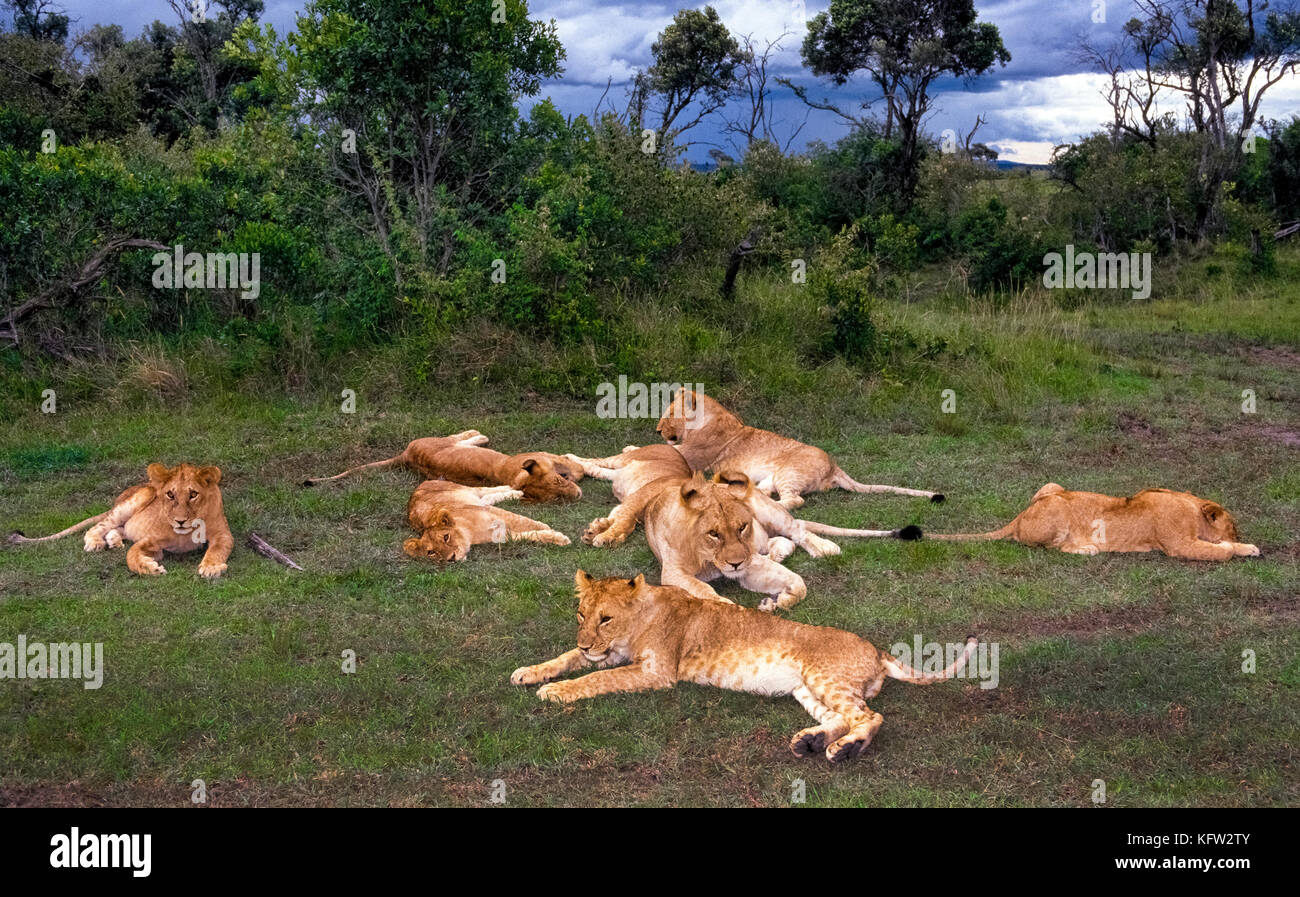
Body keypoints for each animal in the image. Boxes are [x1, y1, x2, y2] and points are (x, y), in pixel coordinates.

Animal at [301, 428, 582, 499]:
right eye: (557, 492)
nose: (577, 496)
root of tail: (406, 455)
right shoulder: (542, 455)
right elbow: (575, 467)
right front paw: (575, 466)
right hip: (440, 441)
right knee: (462, 436)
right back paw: (480, 435)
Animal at [405, 480, 569, 559]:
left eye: (446, 537)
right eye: (431, 552)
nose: (451, 558)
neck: (470, 534)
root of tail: (422, 483)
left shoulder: (495, 514)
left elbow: (523, 521)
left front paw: (547, 527)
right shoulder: (500, 535)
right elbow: (528, 535)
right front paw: (556, 537)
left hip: (466, 490)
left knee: (484, 490)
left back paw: (513, 489)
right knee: (487, 498)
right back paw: (515, 493)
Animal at [506, 569, 977, 759]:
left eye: (605, 618)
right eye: (581, 614)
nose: (587, 641)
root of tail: (878, 650)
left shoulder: (656, 672)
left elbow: (600, 677)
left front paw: (556, 690)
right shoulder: (614, 653)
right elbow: (567, 659)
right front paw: (530, 671)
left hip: (825, 676)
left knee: (870, 716)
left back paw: (843, 751)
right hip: (806, 688)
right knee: (841, 717)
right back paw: (810, 742)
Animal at [655, 387, 941, 506]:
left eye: (668, 415)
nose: (658, 430)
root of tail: (834, 465)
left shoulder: (692, 454)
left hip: (788, 473)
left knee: (794, 500)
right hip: (771, 478)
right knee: (765, 492)